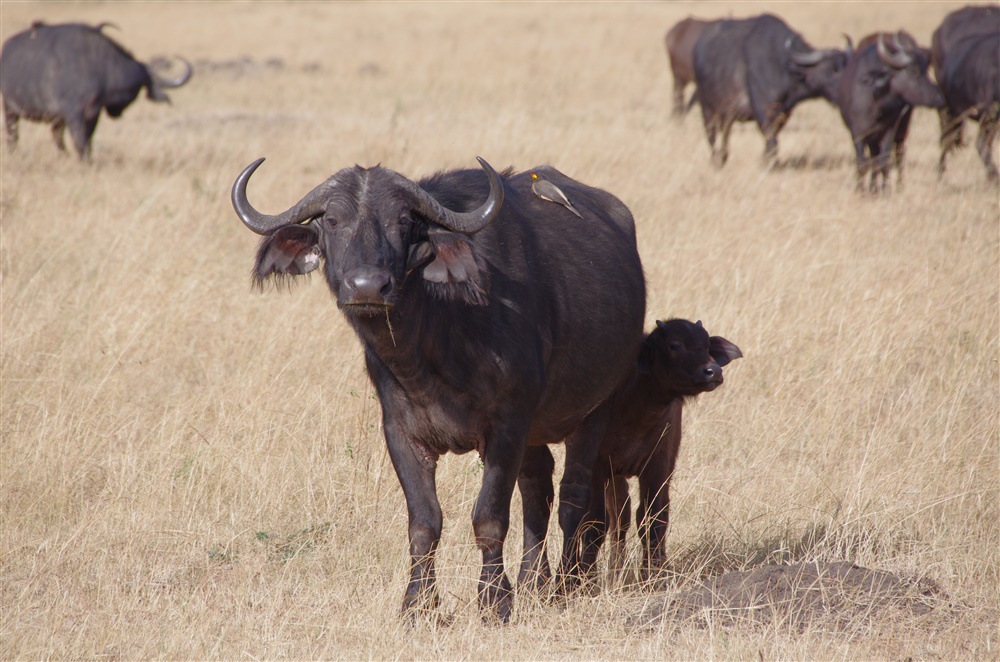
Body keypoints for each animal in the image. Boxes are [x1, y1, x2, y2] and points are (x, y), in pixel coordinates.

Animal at [0, 22, 193, 160]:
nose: (117, 113)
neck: (100, 69)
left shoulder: (94, 112)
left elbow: (88, 140)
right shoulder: (74, 113)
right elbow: (79, 140)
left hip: (56, 118)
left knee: (56, 134)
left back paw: (64, 157)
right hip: (10, 110)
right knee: (13, 136)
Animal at [230, 157, 644, 624]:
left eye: (403, 220)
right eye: (332, 221)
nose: (367, 287)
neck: (434, 347)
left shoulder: (507, 426)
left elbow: (489, 517)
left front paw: (494, 601)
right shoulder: (402, 433)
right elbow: (424, 522)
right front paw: (417, 603)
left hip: (595, 409)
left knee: (575, 494)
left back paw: (569, 584)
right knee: (538, 490)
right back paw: (534, 581)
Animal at [692, 13, 848, 166]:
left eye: (846, 66)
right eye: (832, 70)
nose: (844, 91)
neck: (784, 68)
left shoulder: (783, 113)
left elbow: (773, 138)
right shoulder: (763, 110)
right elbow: (771, 140)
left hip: (727, 114)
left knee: (725, 133)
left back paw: (723, 156)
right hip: (708, 110)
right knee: (712, 136)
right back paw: (716, 160)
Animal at [836, 32, 944, 192]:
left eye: (926, 70)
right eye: (912, 71)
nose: (939, 97)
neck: (876, 103)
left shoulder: (889, 130)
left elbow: (884, 162)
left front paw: (885, 190)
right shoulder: (858, 133)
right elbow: (862, 162)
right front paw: (861, 190)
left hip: (902, 130)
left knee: (899, 155)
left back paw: (898, 186)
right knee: (873, 158)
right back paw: (872, 188)